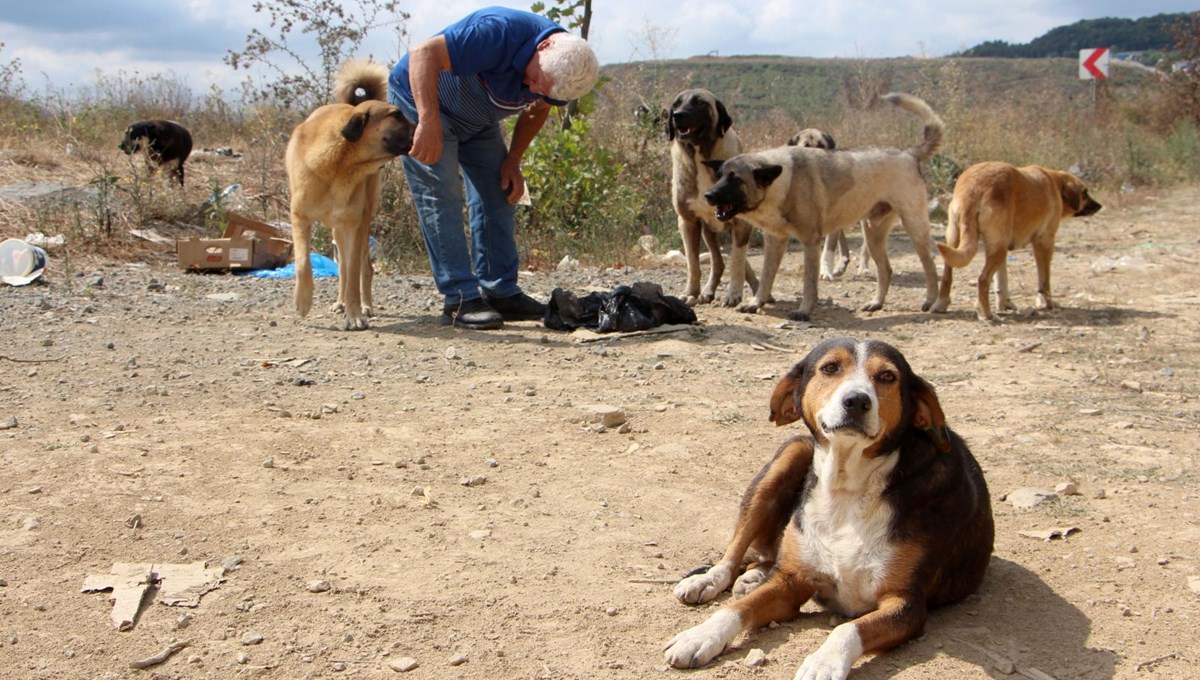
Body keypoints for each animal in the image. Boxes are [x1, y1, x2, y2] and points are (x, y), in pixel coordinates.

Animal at [283, 59, 415, 331]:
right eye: (396, 115)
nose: (421, 125)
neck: (340, 164)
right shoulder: (299, 218)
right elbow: (302, 263)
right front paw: (303, 301)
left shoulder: (354, 225)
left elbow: (355, 273)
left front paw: (355, 314)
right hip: (337, 229)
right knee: (342, 267)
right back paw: (339, 302)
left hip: (360, 223)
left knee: (363, 268)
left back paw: (365, 305)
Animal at [667, 89, 758, 307]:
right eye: (676, 104)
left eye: (700, 103)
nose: (678, 116)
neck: (700, 156)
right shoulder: (688, 222)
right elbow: (693, 264)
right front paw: (691, 292)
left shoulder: (741, 222)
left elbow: (737, 262)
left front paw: (734, 294)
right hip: (709, 231)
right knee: (719, 262)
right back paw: (708, 291)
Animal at [667, 338, 993, 676]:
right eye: (830, 368)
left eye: (887, 376)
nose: (857, 401)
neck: (848, 487)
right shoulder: (790, 582)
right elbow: (735, 608)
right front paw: (700, 636)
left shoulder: (907, 603)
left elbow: (848, 628)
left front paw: (823, 662)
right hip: (792, 451)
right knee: (736, 553)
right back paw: (709, 580)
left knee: (764, 560)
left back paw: (752, 577)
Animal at [926, 160, 1104, 321]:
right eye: (1085, 193)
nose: (1100, 206)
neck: (1055, 182)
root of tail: (974, 188)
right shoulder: (1044, 243)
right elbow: (1044, 280)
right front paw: (1046, 303)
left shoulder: (1002, 247)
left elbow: (1001, 280)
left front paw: (1004, 303)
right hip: (997, 247)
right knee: (982, 279)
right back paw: (985, 314)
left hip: (960, 240)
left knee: (947, 275)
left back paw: (940, 305)